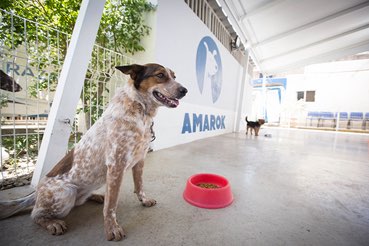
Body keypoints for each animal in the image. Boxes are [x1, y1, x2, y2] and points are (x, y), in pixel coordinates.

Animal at [0, 62, 187, 241]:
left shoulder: (140, 160)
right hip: (67, 193)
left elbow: (139, 186)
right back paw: (52, 222)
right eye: (160, 75)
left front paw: (144, 200)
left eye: (174, 76)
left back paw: (96, 196)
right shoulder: (116, 165)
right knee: (35, 214)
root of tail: (36, 192)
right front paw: (112, 229)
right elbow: (111, 206)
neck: (141, 111)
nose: (185, 90)